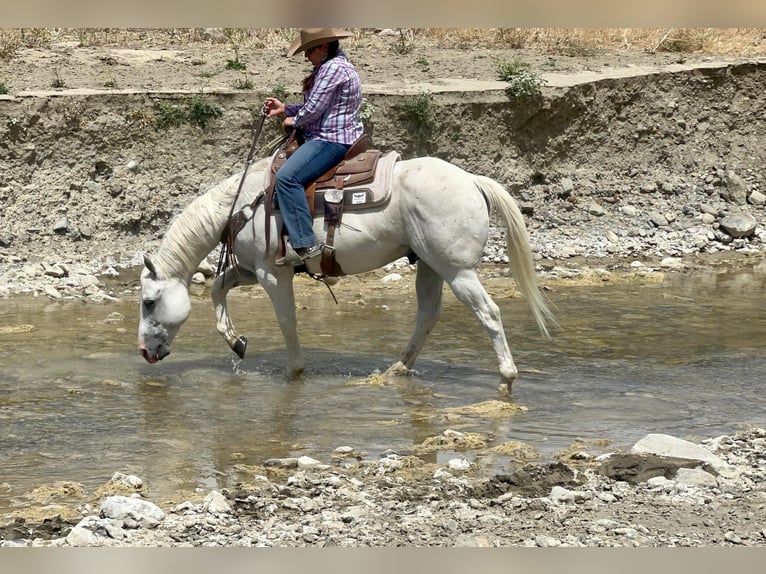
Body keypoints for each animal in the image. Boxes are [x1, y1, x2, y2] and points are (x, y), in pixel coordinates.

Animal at [138, 155, 556, 394]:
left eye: (148, 302)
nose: (144, 352)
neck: (242, 204)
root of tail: (471, 180)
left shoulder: (272, 273)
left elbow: (286, 320)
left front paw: (295, 370)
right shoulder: (250, 269)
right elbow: (218, 288)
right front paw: (235, 341)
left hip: (458, 270)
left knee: (488, 313)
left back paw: (506, 377)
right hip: (430, 266)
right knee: (427, 315)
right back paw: (398, 369)